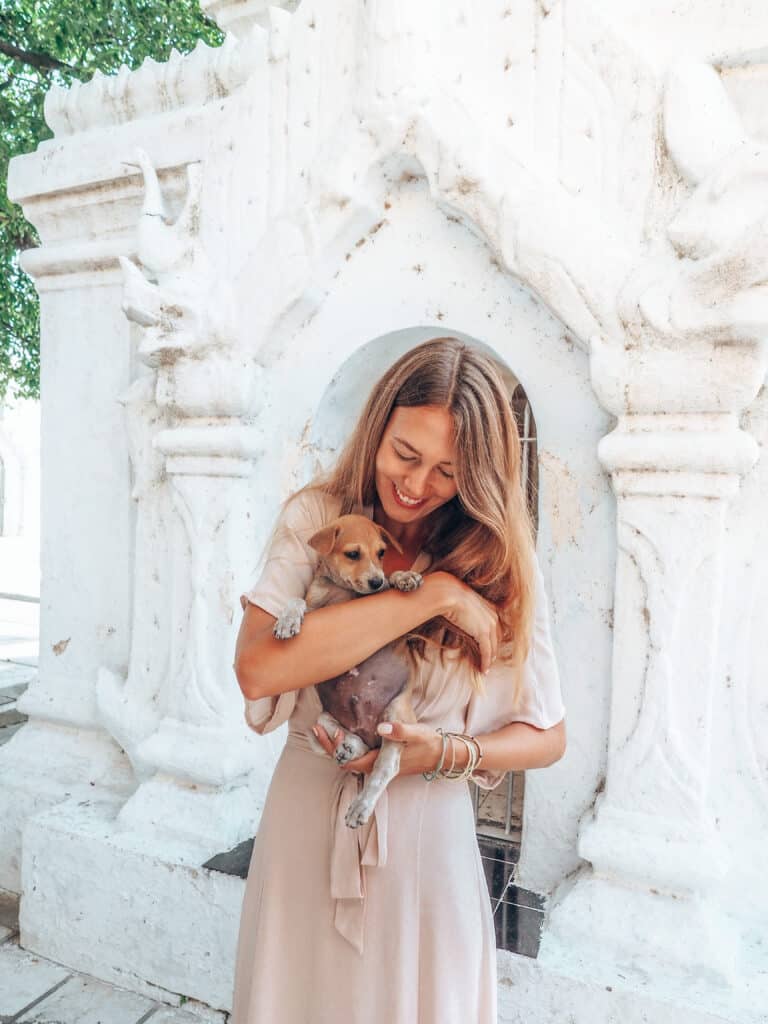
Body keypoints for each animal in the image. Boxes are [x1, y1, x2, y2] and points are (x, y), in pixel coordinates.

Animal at [272, 516, 428, 827]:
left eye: (381, 552)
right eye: (353, 554)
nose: (375, 581)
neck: (346, 592)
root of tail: (369, 729)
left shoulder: (402, 626)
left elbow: (393, 581)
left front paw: (404, 577)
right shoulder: (315, 608)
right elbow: (297, 601)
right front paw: (287, 620)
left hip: (395, 715)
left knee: (385, 767)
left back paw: (360, 806)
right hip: (323, 719)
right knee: (359, 743)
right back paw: (350, 747)